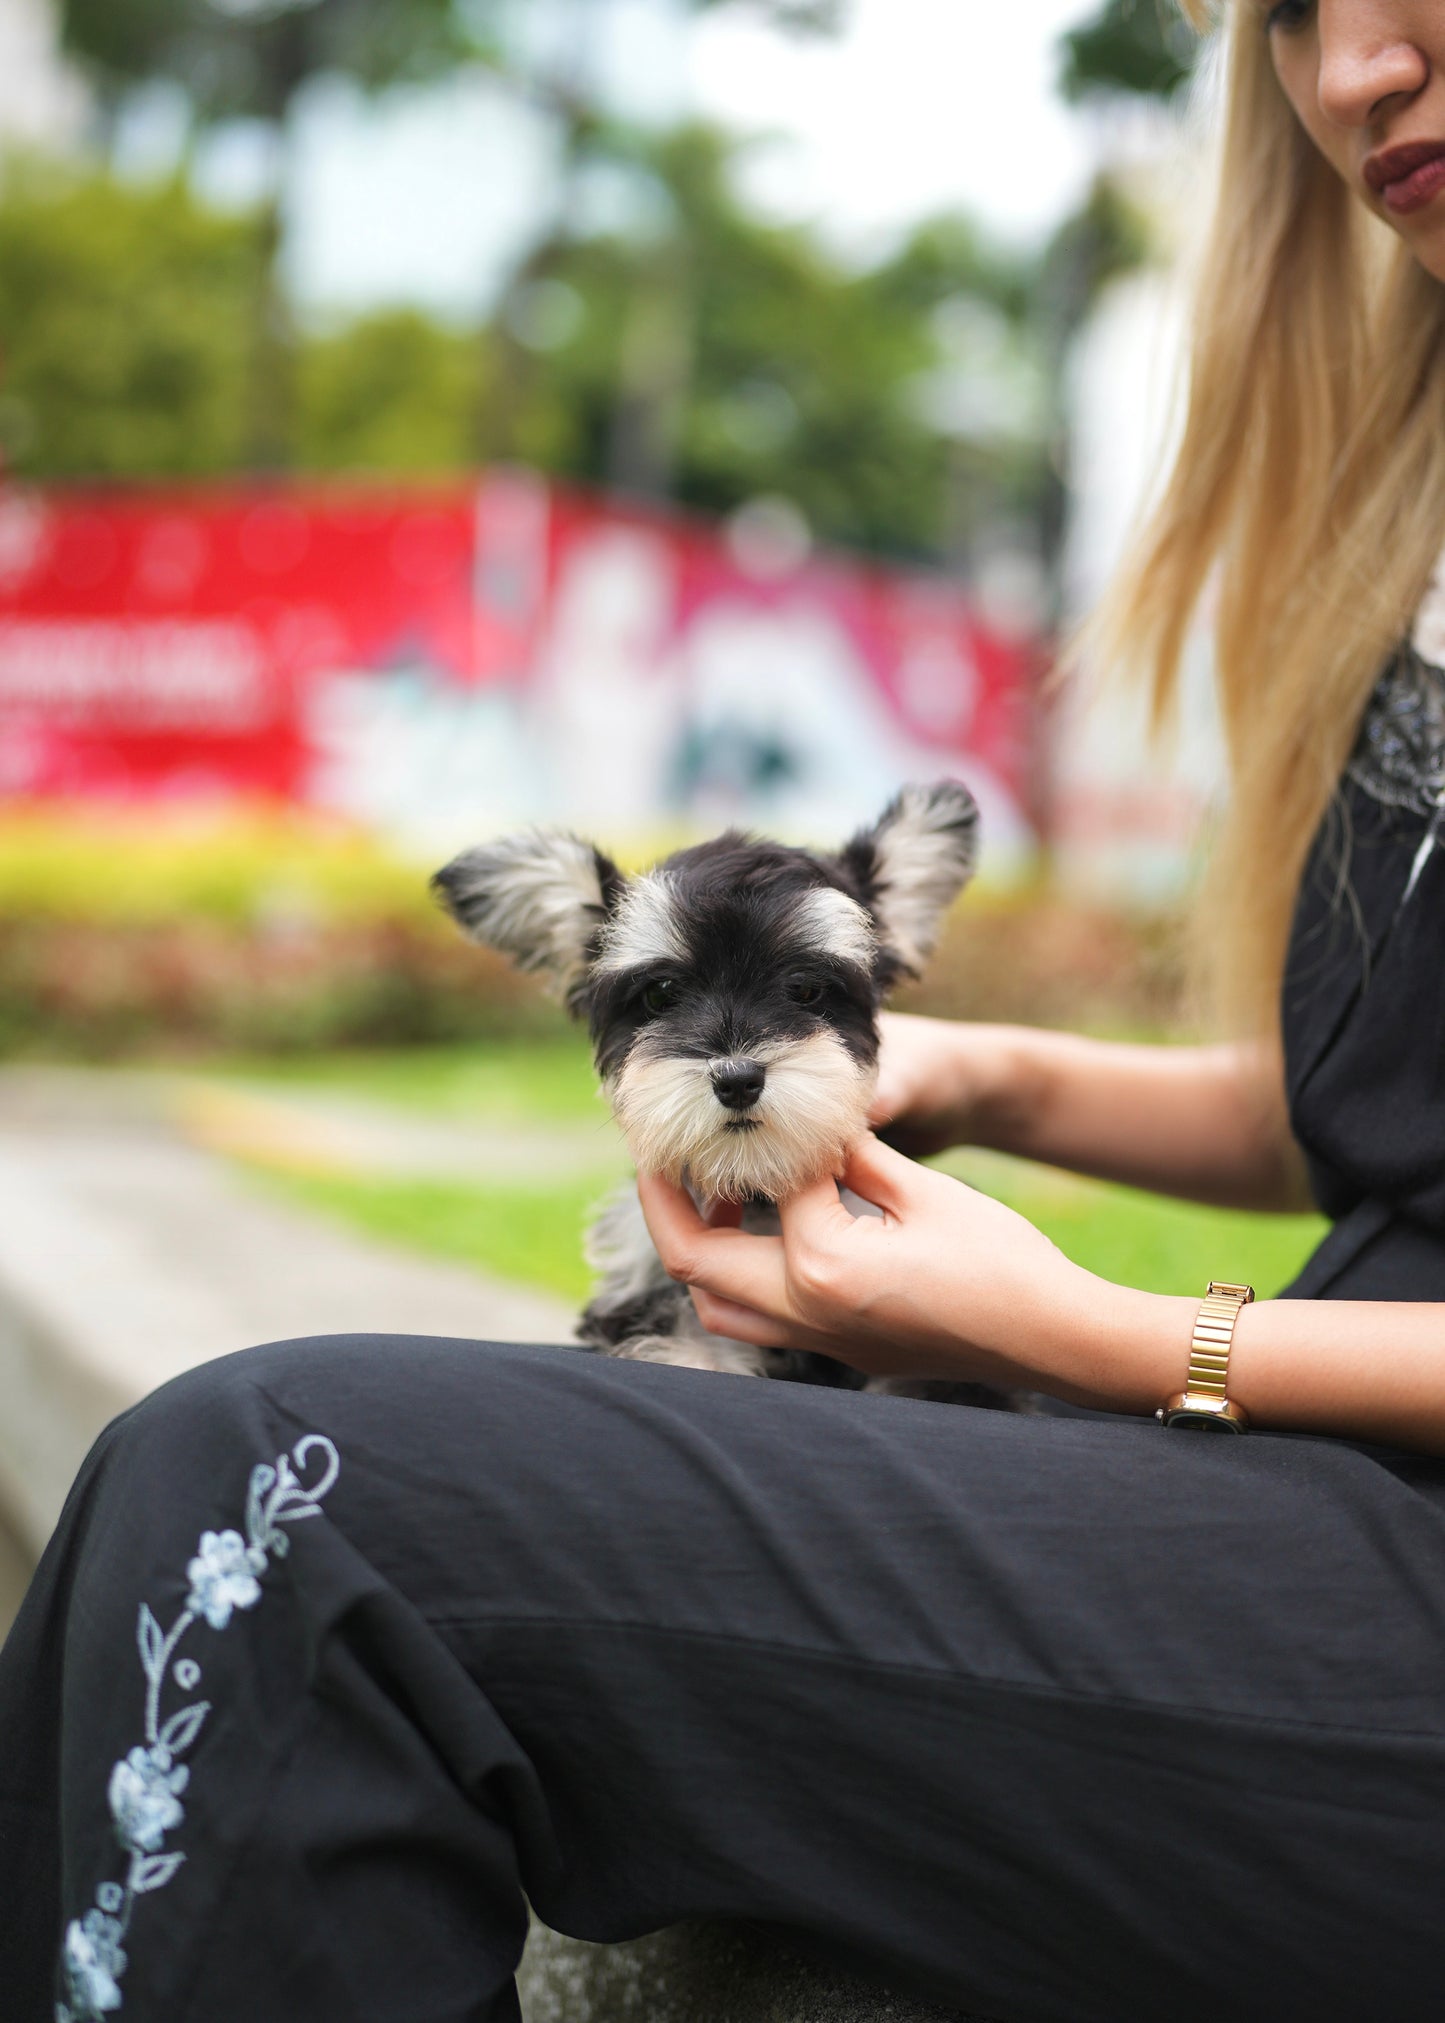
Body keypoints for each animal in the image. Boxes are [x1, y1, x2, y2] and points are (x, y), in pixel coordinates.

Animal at [433, 784, 983, 1391]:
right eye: (660, 994)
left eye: (806, 989)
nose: (737, 1079)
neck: (754, 1193)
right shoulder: (655, 1291)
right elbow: (687, 1350)